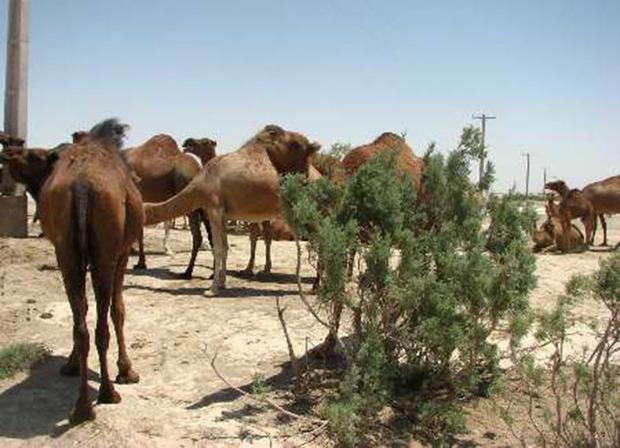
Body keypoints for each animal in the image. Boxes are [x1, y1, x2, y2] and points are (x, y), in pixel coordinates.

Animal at [37, 118, 142, 420]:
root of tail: (82, 185)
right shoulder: (122, 253)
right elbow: (118, 310)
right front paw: (127, 370)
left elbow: (82, 309)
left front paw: (71, 365)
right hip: (105, 251)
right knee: (102, 324)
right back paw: (108, 393)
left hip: (66, 252)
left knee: (81, 326)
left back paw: (82, 407)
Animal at [145, 125, 320, 294]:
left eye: (204, 141)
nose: (186, 142)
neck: (201, 182)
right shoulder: (223, 214)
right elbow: (226, 247)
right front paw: (222, 283)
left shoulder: (214, 208)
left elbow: (218, 249)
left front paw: (212, 289)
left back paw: (316, 286)